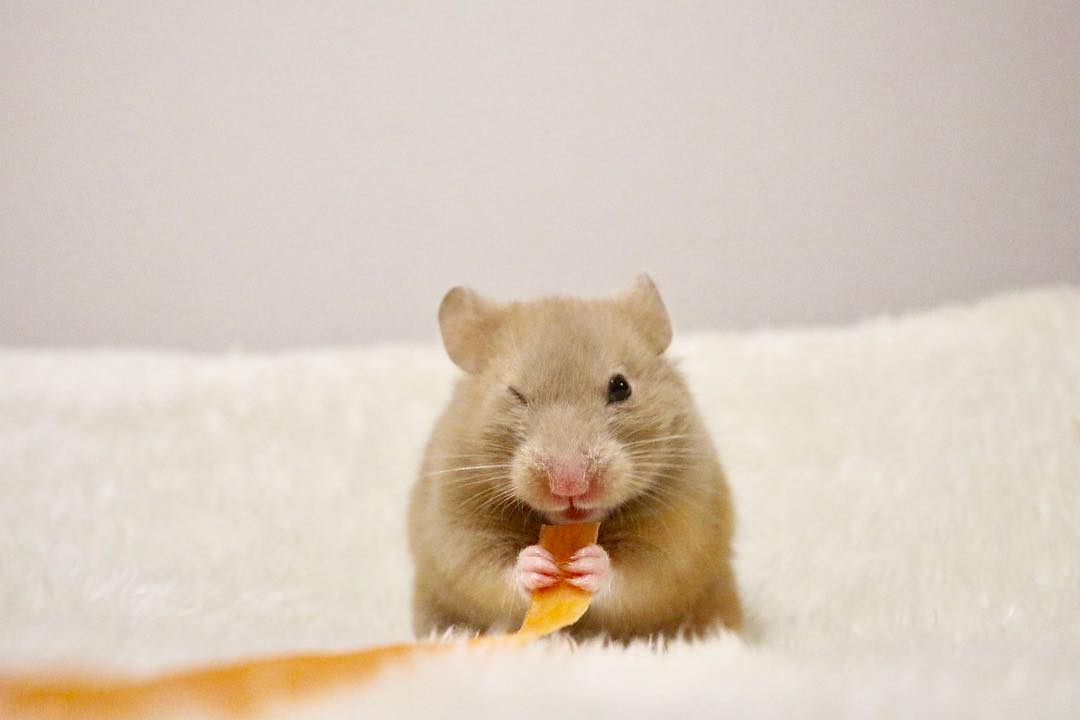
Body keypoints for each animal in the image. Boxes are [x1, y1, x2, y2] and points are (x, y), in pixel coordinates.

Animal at [407, 275, 742, 642]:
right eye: (516, 395)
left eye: (621, 387)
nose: (570, 484)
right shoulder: (452, 520)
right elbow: (481, 568)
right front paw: (538, 564)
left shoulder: (683, 523)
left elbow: (642, 574)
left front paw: (587, 564)